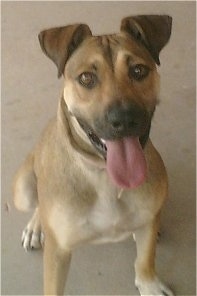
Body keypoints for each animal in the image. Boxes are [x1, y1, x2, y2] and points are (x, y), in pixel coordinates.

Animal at [13, 14, 172, 296]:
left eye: (138, 71)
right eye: (86, 78)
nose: (124, 118)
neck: (104, 176)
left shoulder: (147, 222)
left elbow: (145, 258)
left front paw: (149, 284)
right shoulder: (58, 252)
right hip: (23, 189)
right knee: (38, 203)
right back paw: (35, 226)